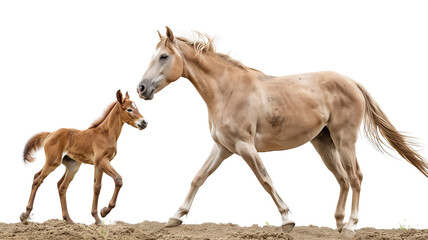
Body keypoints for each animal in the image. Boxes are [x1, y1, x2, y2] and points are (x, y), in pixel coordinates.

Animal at [20, 90, 147, 225]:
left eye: (137, 107)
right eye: (129, 109)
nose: (144, 122)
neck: (105, 134)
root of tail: (50, 134)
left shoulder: (99, 164)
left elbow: (97, 187)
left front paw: (97, 218)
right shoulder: (102, 161)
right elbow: (118, 179)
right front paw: (105, 211)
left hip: (72, 166)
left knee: (61, 186)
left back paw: (68, 219)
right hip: (53, 162)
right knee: (38, 180)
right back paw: (25, 215)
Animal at [138, 26, 428, 234]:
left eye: (163, 56)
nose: (141, 88)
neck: (227, 90)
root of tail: (352, 82)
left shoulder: (245, 147)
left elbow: (265, 179)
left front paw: (287, 219)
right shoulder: (223, 147)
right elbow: (198, 177)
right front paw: (174, 217)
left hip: (345, 140)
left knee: (355, 177)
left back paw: (350, 226)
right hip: (324, 143)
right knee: (343, 179)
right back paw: (337, 223)